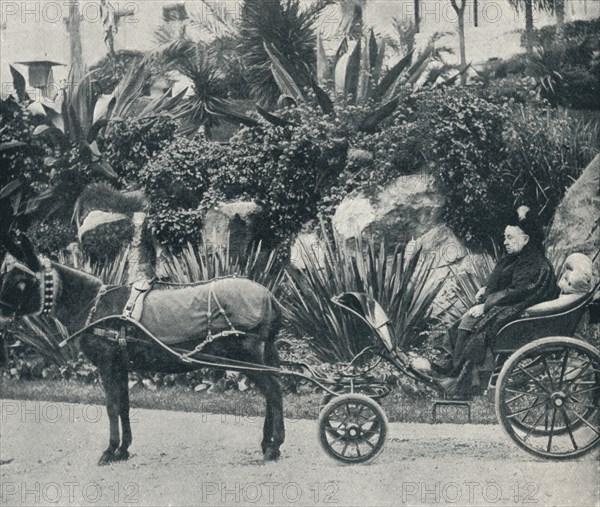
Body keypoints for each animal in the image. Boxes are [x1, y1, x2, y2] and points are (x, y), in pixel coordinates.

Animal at [0, 256, 286, 466]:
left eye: (21, 280)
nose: (2, 314)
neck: (96, 306)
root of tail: (269, 297)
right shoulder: (121, 366)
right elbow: (124, 406)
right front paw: (123, 450)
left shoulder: (107, 365)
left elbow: (111, 407)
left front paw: (110, 450)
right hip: (262, 357)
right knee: (272, 394)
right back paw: (266, 444)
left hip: (248, 358)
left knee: (273, 393)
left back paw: (274, 446)